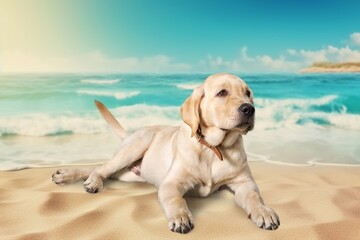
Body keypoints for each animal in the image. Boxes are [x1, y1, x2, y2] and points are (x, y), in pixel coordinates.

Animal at [52, 73, 280, 234]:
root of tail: (131, 134)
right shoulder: (172, 183)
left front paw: (263, 211)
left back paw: (67, 175)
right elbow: (176, 201)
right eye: (222, 93)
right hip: (135, 147)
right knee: (101, 168)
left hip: (129, 174)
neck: (214, 148)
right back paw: (86, 180)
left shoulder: (244, 182)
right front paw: (180, 217)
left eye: (248, 93)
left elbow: (254, 197)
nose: (249, 109)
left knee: (100, 168)